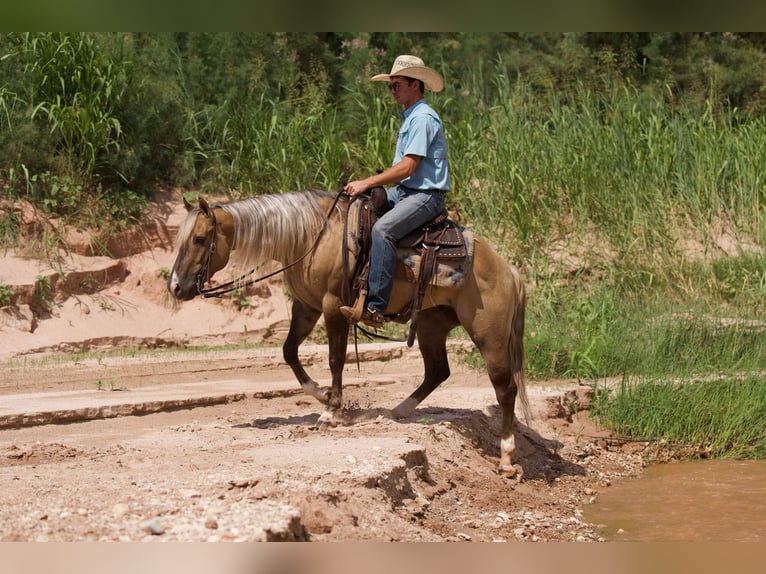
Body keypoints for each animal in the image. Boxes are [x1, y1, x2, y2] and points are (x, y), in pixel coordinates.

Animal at [167, 189, 530, 477]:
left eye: (199, 239)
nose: (175, 287)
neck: (311, 237)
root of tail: (508, 270)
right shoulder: (306, 307)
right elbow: (289, 352)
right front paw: (321, 394)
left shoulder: (332, 306)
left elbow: (335, 359)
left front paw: (331, 410)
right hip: (431, 325)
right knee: (438, 372)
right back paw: (398, 411)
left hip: (489, 334)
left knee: (505, 388)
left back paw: (507, 457)